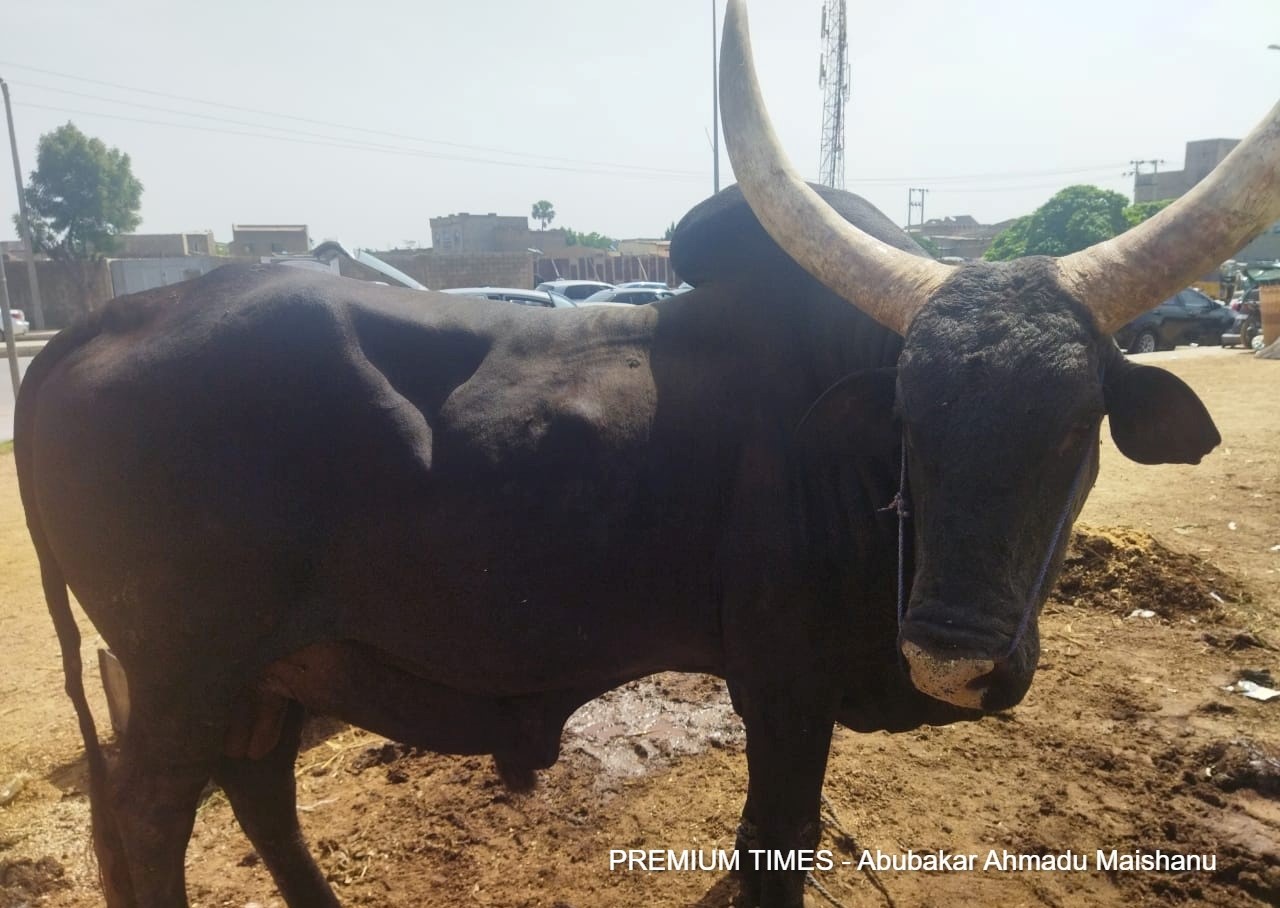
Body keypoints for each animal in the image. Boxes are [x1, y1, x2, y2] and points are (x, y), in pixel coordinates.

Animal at [16, 1, 1280, 905]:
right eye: (908, 418)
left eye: (1072, 422)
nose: (953, 656)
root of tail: (99, 320)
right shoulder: (781, 685)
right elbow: (773, 846)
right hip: (181, 670)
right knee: (145, 826)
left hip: (270, 665)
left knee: (259, 788)